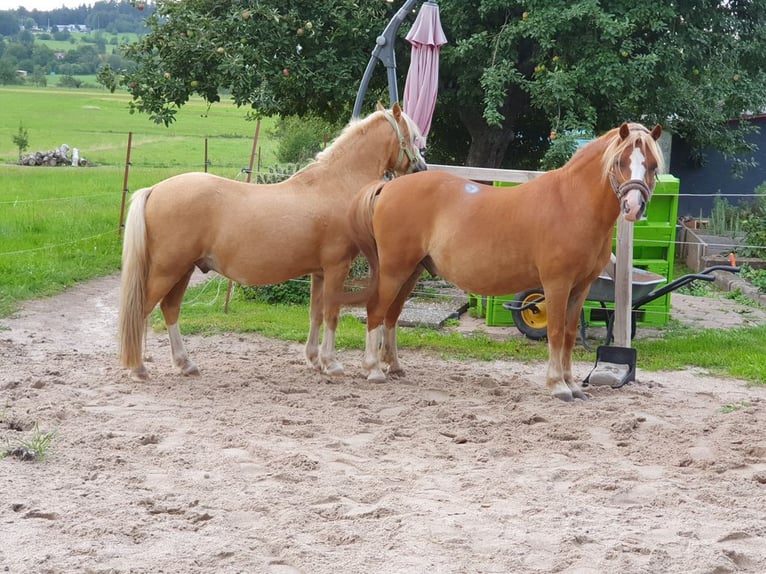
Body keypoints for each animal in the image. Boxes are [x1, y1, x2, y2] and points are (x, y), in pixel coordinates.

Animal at [120, 103, 426, 382]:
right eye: (412, 136)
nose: (421, 168)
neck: (336, 185)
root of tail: (155, 189)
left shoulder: (319, 273)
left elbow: (316, 314)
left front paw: (314, 360)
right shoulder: (337, 267)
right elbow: (332, 314)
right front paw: (332, 363)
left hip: (182, 270)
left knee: (170, 309)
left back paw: (185, 364)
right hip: (167, 270)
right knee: (142, 310)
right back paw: (138, 368)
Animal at [344, 122, 664, 400]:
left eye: (652, 165)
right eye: (620, 162)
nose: (633, 207)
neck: (572, 204)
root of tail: (388, 187)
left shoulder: (581, 287)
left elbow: (571, 335)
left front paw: (573, 385)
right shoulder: (556, 285)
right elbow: (556, 332)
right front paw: (558, 386)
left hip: (411, 272)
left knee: (391, 315)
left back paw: (394, 367)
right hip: (393, 270)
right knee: (376, 311)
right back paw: (373, 370)